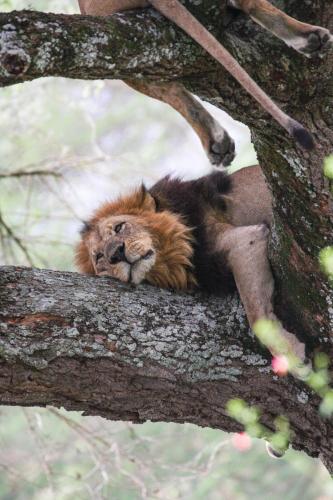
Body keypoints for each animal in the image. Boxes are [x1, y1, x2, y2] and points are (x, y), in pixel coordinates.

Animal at [75, 166, 306, 366]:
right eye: (99, 257)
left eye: (119, 227)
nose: (116, 253)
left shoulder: (246, 239)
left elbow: (256, 313)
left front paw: (291, 354)